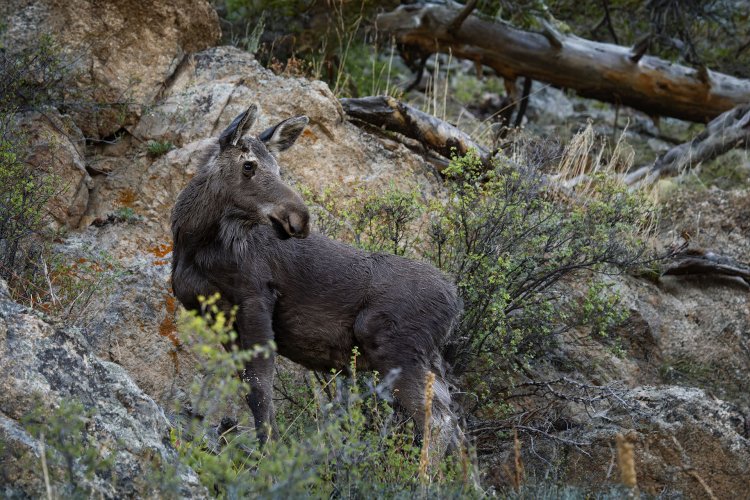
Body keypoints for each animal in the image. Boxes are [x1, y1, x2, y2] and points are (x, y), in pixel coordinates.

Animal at [172, 104, 464, 454]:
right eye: (248, 165)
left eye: (279, 169)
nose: (300, 217)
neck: (193, 244)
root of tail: (455, 304)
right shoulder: (220, 319)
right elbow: (249, 388)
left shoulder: (256, 296)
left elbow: (260, 389)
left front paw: (268, 455)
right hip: (429, 359)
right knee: (456, 425)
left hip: (397, 349)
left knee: (437, 422)